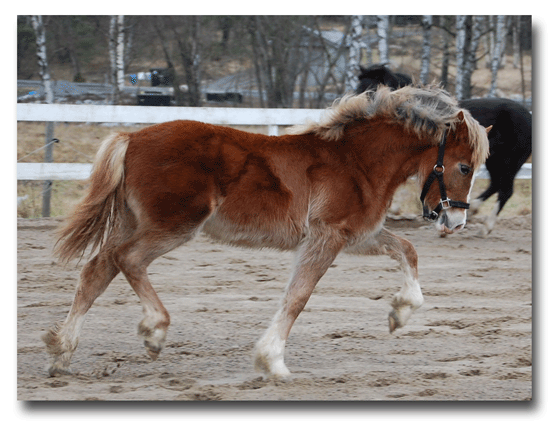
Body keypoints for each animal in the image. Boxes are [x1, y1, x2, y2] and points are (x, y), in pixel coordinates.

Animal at [43, 85, 490, 378]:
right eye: (464, 167)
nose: (455, 222)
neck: (356, 162)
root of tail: (130, 136)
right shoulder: (327, 237)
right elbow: (298, 297)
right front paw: (272, 361)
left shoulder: (357, 236)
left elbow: (407, 250)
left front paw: (400, 313)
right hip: (175, 225)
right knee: (127, 260)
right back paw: (153, 332)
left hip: (134, 221)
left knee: (97, 270)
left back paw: (62, 353)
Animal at [356, 64, 532, 235]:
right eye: (360, 86)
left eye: (373, 88)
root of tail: (529, 116)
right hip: (495, 162)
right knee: (496, 184)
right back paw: (473, 211)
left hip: (509, 162)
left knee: (505, 191)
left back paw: (485, 227)